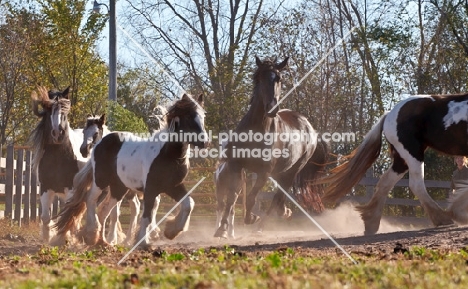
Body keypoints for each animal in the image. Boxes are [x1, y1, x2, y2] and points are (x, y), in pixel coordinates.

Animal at [28, 85, 89, 241]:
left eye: (66, 109)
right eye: (49, 110)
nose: (57, 133)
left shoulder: (71, 189)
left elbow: (68, 216)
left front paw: (64, 239)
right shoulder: (45, 188)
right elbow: (45, 217)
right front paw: (46, 239)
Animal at [54, 93, 208, 246]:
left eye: (203, 116)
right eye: (188, 117)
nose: (204, 142)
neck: (167, 154)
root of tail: (100, 144)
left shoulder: (173, 186)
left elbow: (189, 204)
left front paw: (172, 231)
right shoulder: (151, 189)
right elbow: (147, 215)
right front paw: (142, 242)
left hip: (119, 188)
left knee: (105, 211)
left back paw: (103, 241)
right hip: (101, 181)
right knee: (90, 200)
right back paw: (92, 234)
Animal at [214, 56, 328, 238]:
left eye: (279, 78)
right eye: (259, 78)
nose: (272, 108)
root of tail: (310, 127)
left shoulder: (264, 173)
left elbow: (251, 198)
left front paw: (251, 218)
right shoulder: (236, 165)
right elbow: (232, 197)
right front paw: (222, 229)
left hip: (292, 171)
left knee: (277, 198)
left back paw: (262, 225)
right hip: (279, 172)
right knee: (278, 198)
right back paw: (284, 212)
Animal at [320, 94, 468, 234]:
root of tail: (389, 114)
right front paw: (459, 213)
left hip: (402, 160)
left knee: (386, 182)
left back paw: (371, 221)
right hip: (413, 153)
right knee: (416, 184)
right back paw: (443, 219)